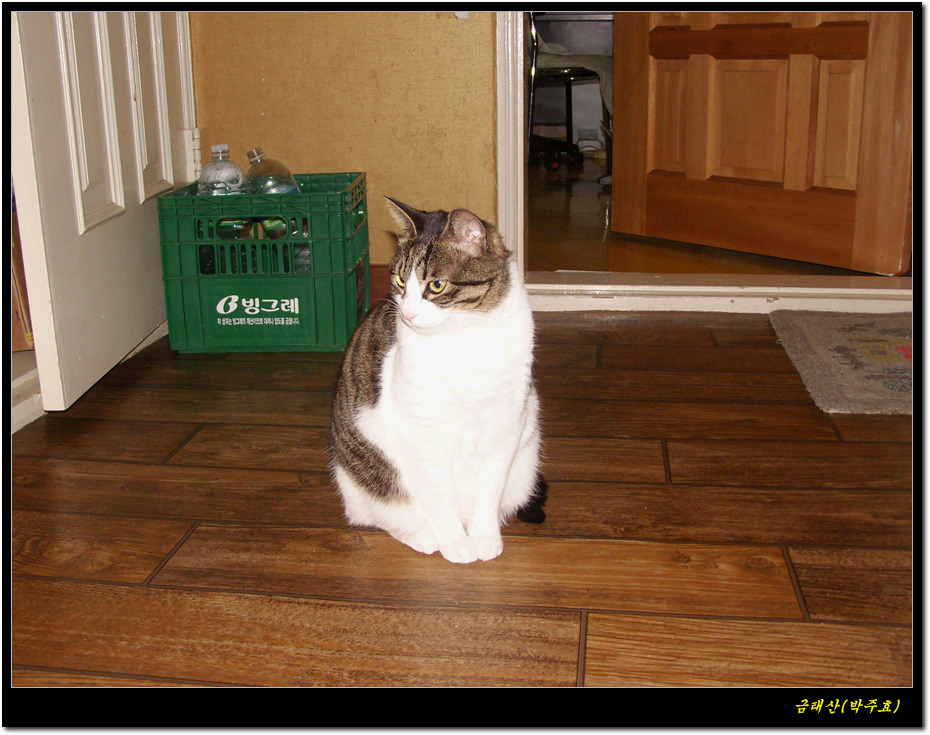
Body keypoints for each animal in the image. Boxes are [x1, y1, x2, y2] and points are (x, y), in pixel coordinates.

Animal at [329, 198, 547, 564]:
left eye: (436, 285)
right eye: (400, 280)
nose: (407, 313)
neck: (466, 338)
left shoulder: (508, 421)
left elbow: (490, 488)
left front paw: (484, 536)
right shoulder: (422, 430)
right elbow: (438, 495)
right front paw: (456, 542)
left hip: (525, 465)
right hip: (364, 475)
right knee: (377, 514)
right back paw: (424, 536)